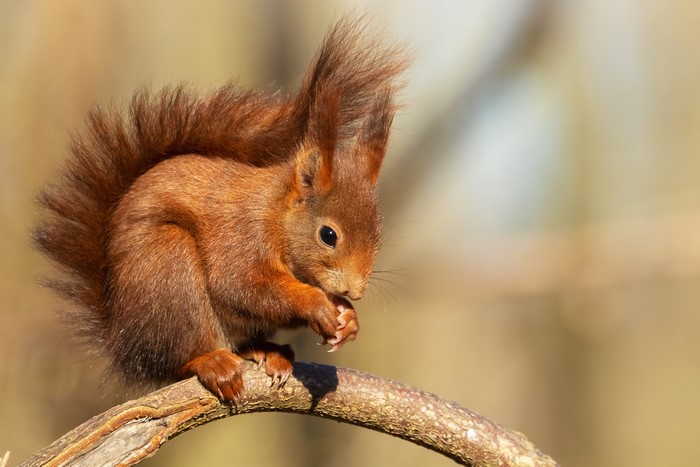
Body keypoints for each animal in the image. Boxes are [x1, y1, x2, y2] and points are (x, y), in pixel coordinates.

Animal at [33, 16, 408, 401]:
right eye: (328, 235)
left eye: (378, 236)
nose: (355, 291)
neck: (276, 215)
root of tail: (124, 342)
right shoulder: (242, 235)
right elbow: (241, 286)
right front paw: (316, 304)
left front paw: (349, 319)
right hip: (167, 266)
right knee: (181, 356)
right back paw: (212, 362)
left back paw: (268, 351)